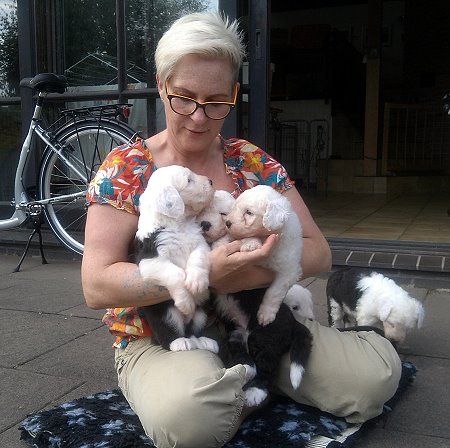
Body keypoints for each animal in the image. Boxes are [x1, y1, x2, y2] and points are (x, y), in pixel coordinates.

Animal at [134, 165, 218, 353]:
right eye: (189, 180)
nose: (211, 181)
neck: (179, 224)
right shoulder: (149, 261)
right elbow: (176, 273)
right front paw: (186, 302)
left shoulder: (201, 244)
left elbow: (197, 258)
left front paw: (197, 283)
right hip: (166, 314)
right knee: (168, 334)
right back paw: (180, 342)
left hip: (202, 312)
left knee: (194, 330)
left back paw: (204, 341)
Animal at [211, 185, 312, 407]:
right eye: (235, 207)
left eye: (249, 212)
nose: (228, 223)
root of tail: (293, 322)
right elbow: (233, 240)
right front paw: (247, 244)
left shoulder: (288, 269)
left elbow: (275, 291)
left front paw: (265, 314)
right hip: (235, 334)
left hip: (266, 340)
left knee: (267, 369)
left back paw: (255, 392)